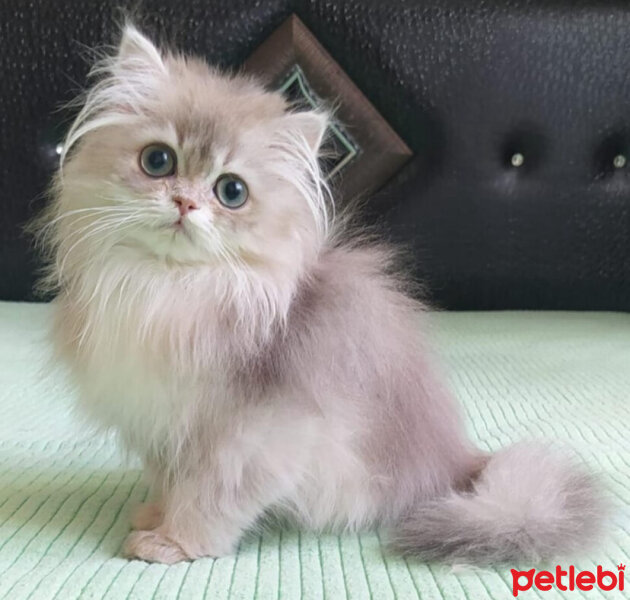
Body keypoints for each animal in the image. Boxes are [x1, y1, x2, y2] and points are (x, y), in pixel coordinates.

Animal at [34, 23, 608, 564]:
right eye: (158, 161)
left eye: (231, 191)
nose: (184, 203)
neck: (169, 288)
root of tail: (460, 465)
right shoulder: (160, 422)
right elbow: (169, 479)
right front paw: (154, 514)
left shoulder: (251, 437)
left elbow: (208, 497)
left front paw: (172, 542)